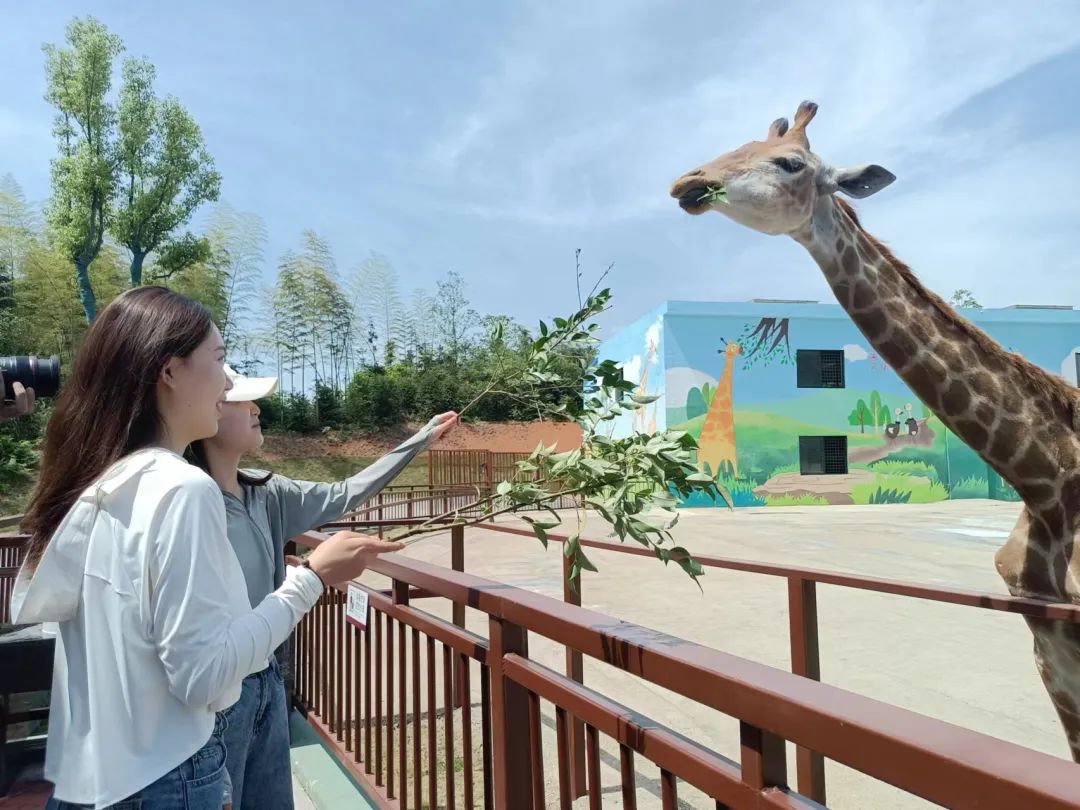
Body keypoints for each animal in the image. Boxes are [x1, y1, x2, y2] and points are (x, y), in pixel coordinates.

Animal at [699, 343, 743, 481]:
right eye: (732, 347)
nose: (742, 348)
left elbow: (727, 465)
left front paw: (728, 475)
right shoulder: (731, 448)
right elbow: (734, 465)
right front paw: (735, 479)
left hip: (699, 462)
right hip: (708, 461)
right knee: (712, 476)